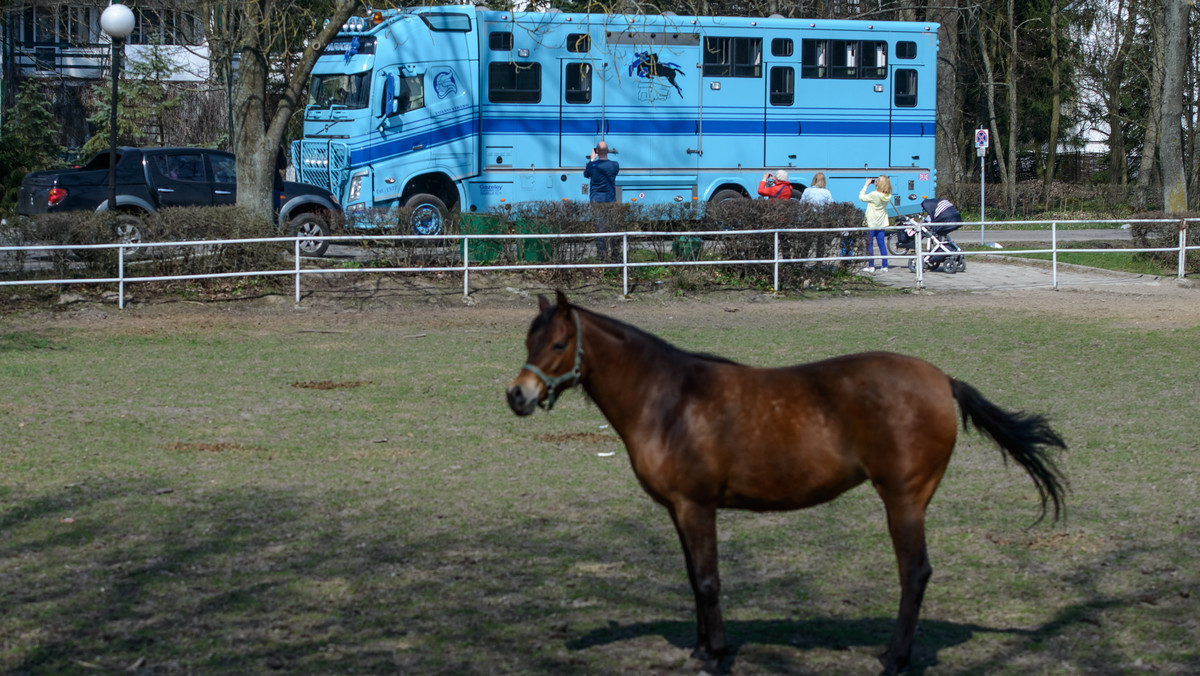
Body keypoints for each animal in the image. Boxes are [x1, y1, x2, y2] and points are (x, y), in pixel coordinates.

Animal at [506, 291, 1070, 676]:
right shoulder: (678, 510)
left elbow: (708, 581)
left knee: (915, 574)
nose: (518, 396)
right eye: (529, 340)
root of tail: (941, 380)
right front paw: (702, 648)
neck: (669, 400)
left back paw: (894, 658)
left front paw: (714, 656)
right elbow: (693, 579)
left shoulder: (696, 507)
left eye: (559, 343)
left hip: (904, 500)